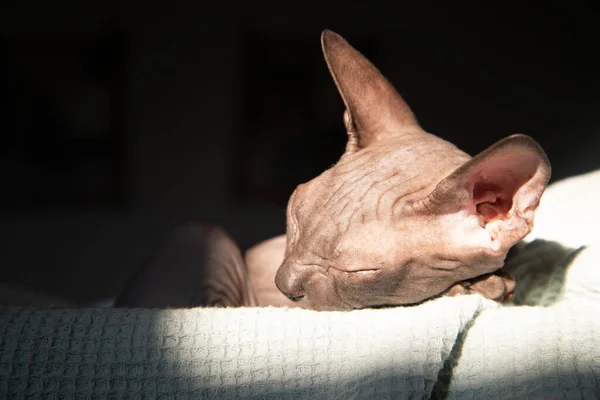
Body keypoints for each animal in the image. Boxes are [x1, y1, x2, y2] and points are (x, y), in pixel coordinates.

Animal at [116, 30, 548, 312]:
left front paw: (493, 286)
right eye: (293, 216)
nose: (284, 285)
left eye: (359, 272)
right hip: (204, 239)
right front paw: (482, 288)